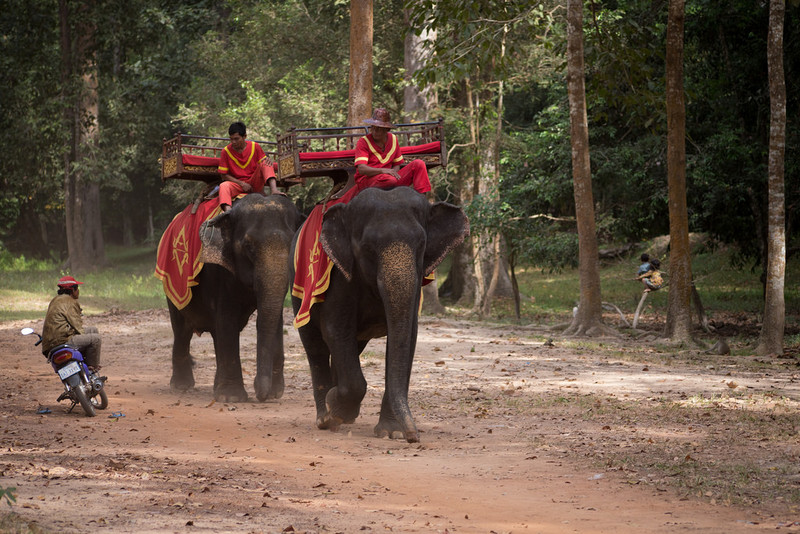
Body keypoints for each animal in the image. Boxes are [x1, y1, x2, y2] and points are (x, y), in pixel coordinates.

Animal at [168, 195, 304, 404]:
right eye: (248, 247)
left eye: (292, 246)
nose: (260, 393)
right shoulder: (220, 270)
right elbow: (228, 318)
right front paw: (231, 398)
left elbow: (274, 318)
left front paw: (274, 394)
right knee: (182, 329)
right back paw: (181, 386)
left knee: (214, 332)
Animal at [290, 186, 468, 446]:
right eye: (367, 248)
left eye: (422, 244)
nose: (414, 437)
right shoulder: (339, 274)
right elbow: (336, 329)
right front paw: (336, 409)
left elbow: (407, 337)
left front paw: (391, 433)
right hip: (299, 288)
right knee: (315, 345)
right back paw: (325, 417)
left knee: (352, 347)